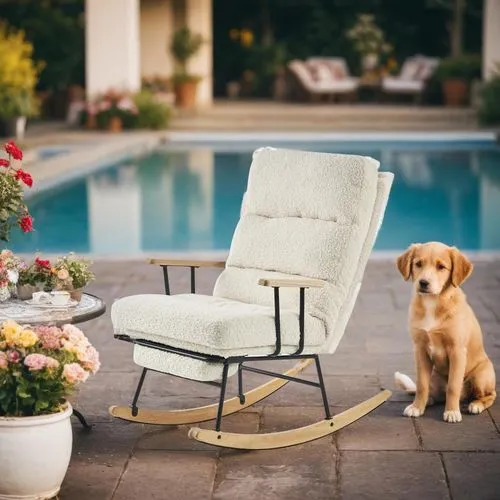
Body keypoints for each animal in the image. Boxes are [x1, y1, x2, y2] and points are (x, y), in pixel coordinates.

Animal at [394, 241, 496, 422]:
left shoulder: (457, 351)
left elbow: (453, 386)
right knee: (431, 391)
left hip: (481, 376)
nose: (423, 283)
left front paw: (452, 412)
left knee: (490, 395)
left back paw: (475, 405)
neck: (432, 303)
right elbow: (421, 385)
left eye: (441, 267)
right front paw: (416, 407)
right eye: (418, 264)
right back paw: (428, 401)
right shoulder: (420, 350)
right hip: (434, 376)